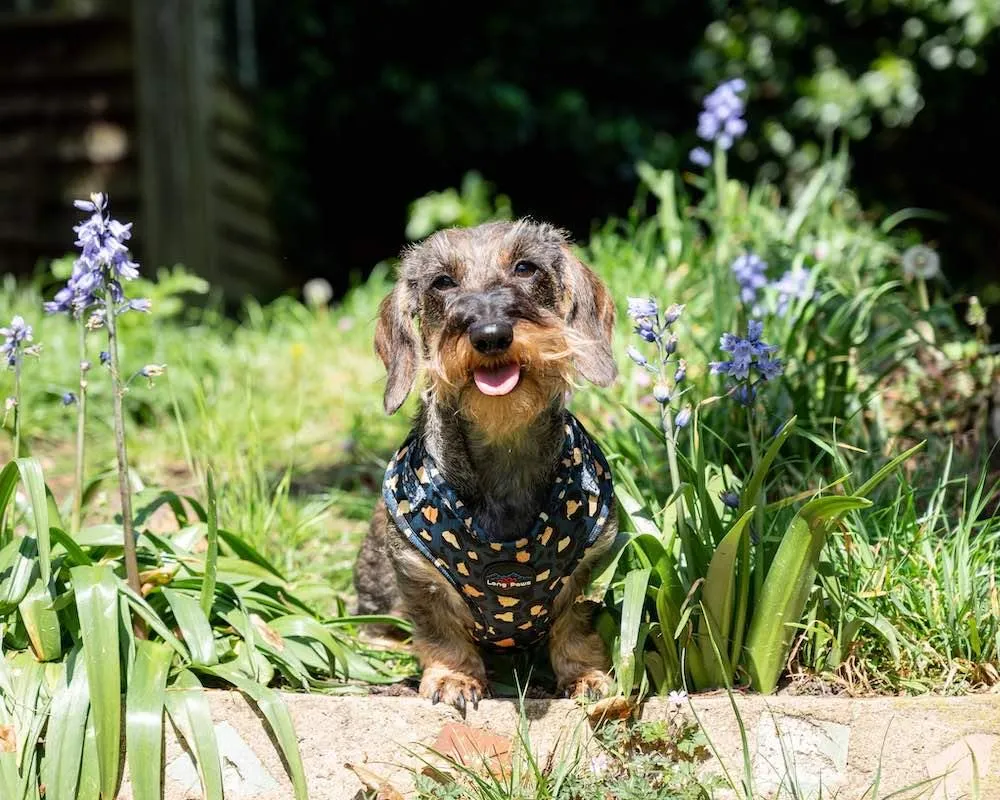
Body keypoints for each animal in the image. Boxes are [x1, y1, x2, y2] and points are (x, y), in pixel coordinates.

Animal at [352, 219, 616, 712]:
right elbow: (441, 634)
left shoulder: (592, 566)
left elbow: (575, 629)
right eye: (442, 282)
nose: (491, 333)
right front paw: (454, 678)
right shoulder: (418, 577)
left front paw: (585, 676)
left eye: (526, 267)